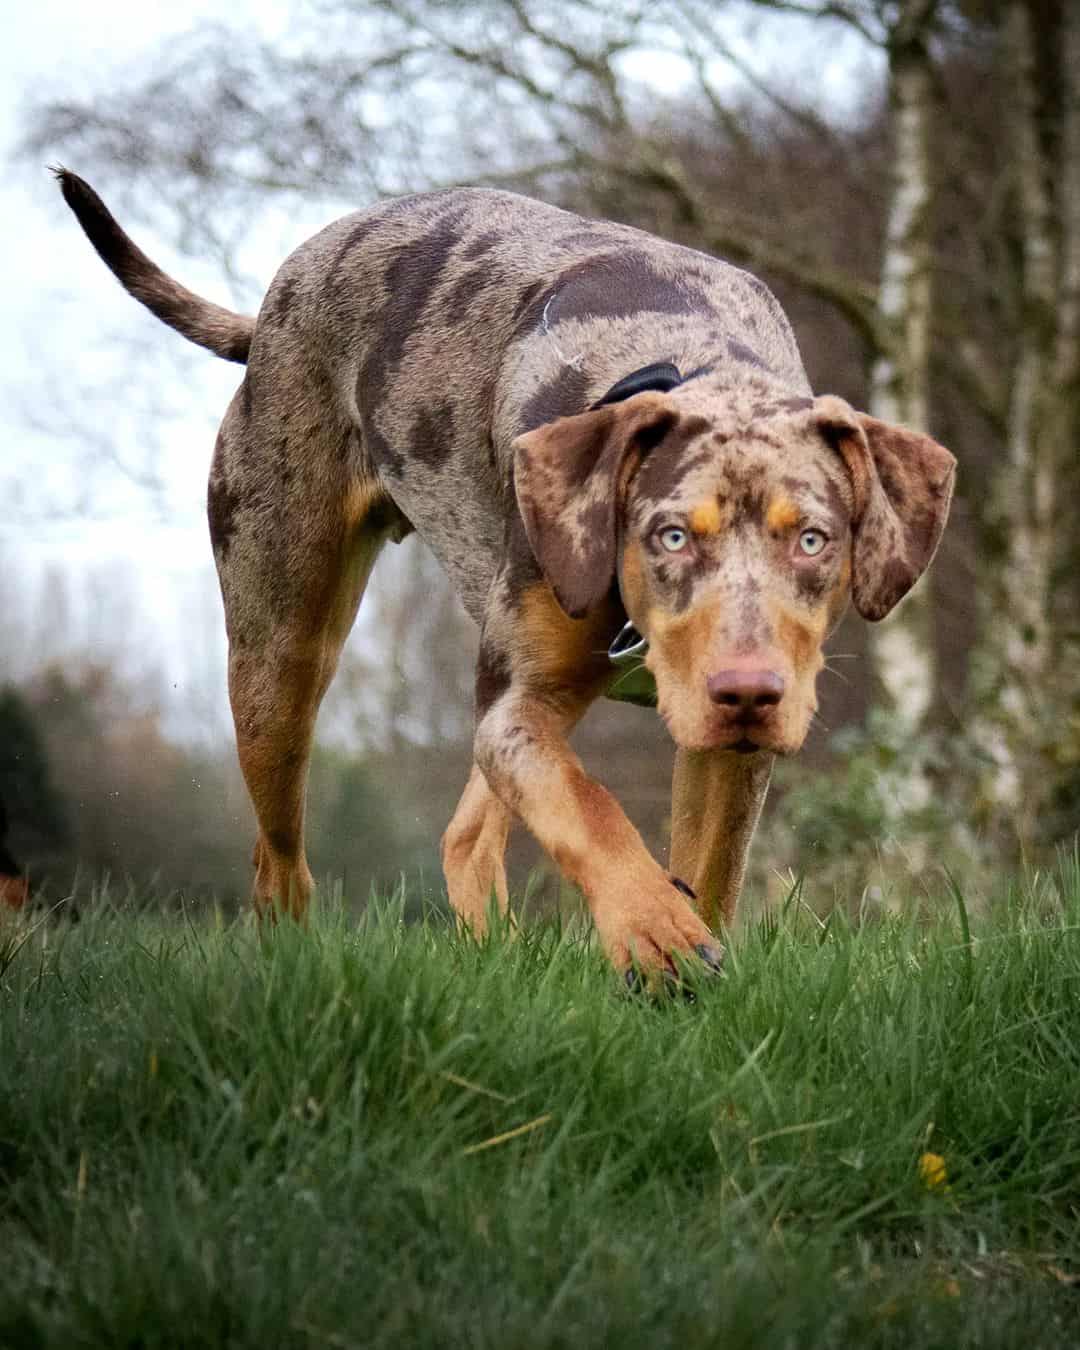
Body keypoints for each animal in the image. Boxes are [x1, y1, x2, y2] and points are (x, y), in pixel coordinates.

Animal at [59, 168, 955, 977]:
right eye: (668, 536)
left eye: (813, 540)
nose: (748, 689)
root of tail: (276, 303)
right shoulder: (517, 711)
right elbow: (588, 806)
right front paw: (653, 927)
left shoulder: (726, 749)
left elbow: (709, 865)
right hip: (278, 661)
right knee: (278, 858)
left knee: (462, 834)